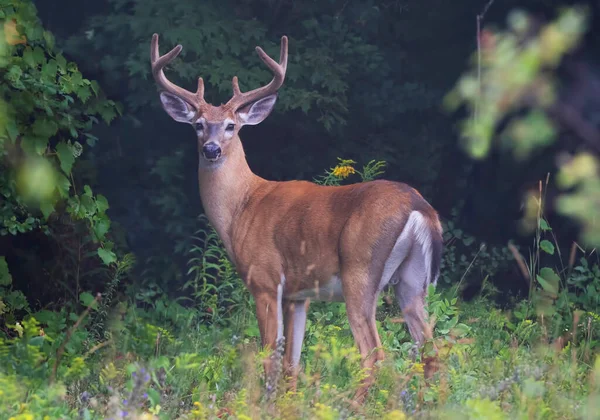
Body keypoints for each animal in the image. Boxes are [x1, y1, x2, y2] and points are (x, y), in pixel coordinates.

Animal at [148, 33, 442, 404]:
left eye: (231, 125)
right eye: (198, 125)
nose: (211, 149)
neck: (242, 208)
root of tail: (420, 206)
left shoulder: (265, 279)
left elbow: (269, 356)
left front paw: (264, 403)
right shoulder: (298, 295)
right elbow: (292, 362)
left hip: (360, 271)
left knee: (374, 355)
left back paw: (351, 405)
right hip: (413, 281)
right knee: (431, 351)